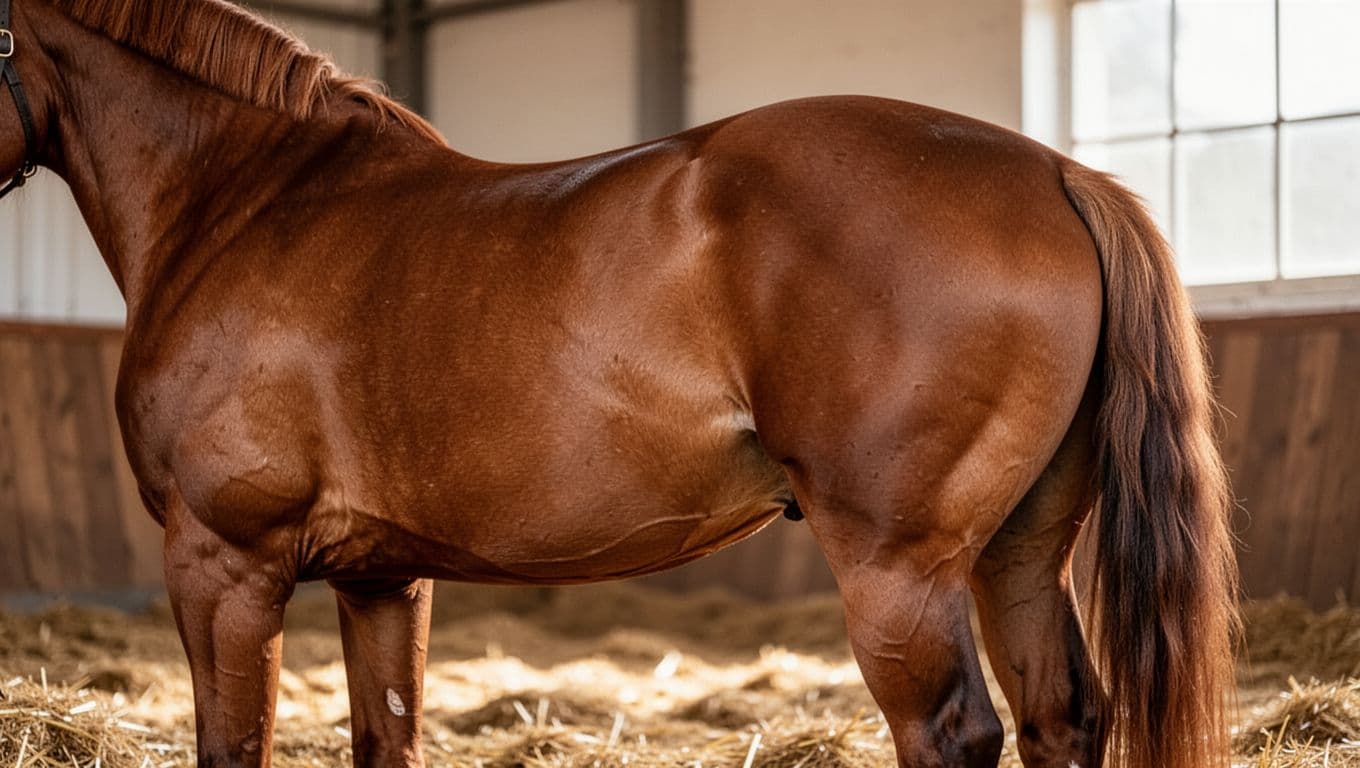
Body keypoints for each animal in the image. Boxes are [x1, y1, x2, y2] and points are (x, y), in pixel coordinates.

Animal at [0, 1, 1240, 766]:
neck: (250, 201)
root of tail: (1059, 171)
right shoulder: (382, 579)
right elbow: (386, 736)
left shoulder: (226, 565)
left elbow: (234, 742)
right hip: (1020, 551)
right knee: (1060, 716)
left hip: (902, 571)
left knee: (951, 732)